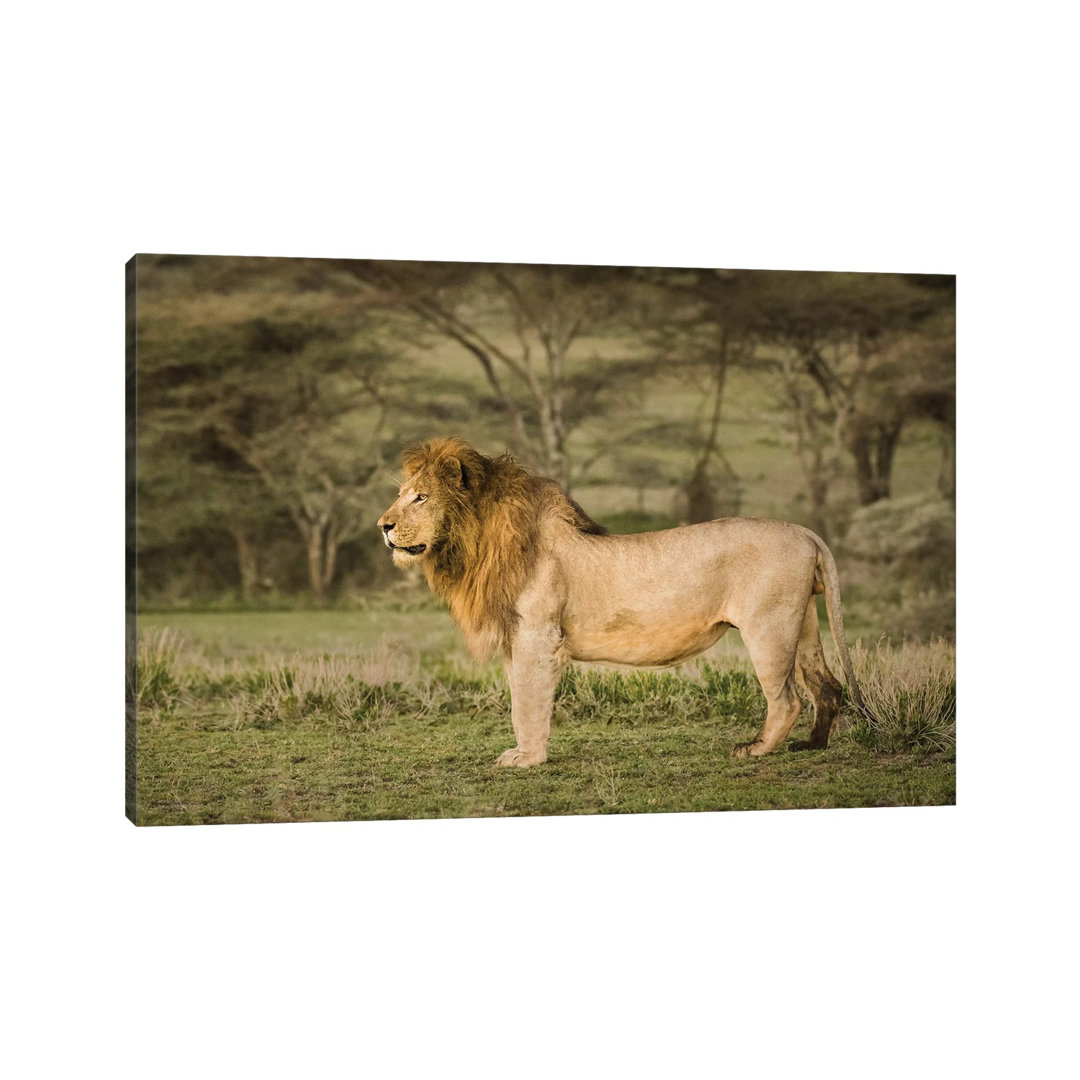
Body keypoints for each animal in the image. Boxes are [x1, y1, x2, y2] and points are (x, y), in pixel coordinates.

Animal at [378, 437, 865, 767]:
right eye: (401, 494)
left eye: (420, 497)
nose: (383, 525)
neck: (478, 542)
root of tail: (804, 531)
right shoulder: (517, 639)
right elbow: (519, 700)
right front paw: (521, 751)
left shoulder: (538, 638)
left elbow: (529, 702)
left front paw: (529, 759)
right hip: (803, 621)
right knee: (827, 686)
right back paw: (812, 745)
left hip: (768, 627)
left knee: (786, 700)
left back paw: (755, 749)